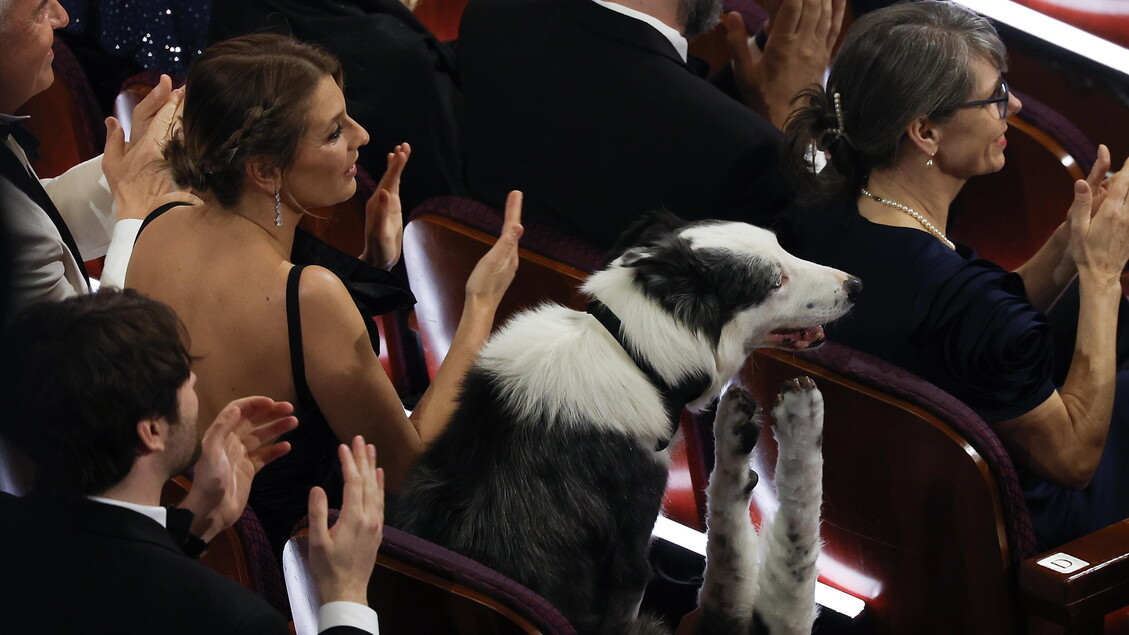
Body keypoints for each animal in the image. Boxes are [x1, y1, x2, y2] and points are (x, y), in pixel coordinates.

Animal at [392, 210, 858, 628]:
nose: (856, 286)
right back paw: (797, 420)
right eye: (776, 280)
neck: (631, 351)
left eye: (782, 246)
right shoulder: (631, 563)